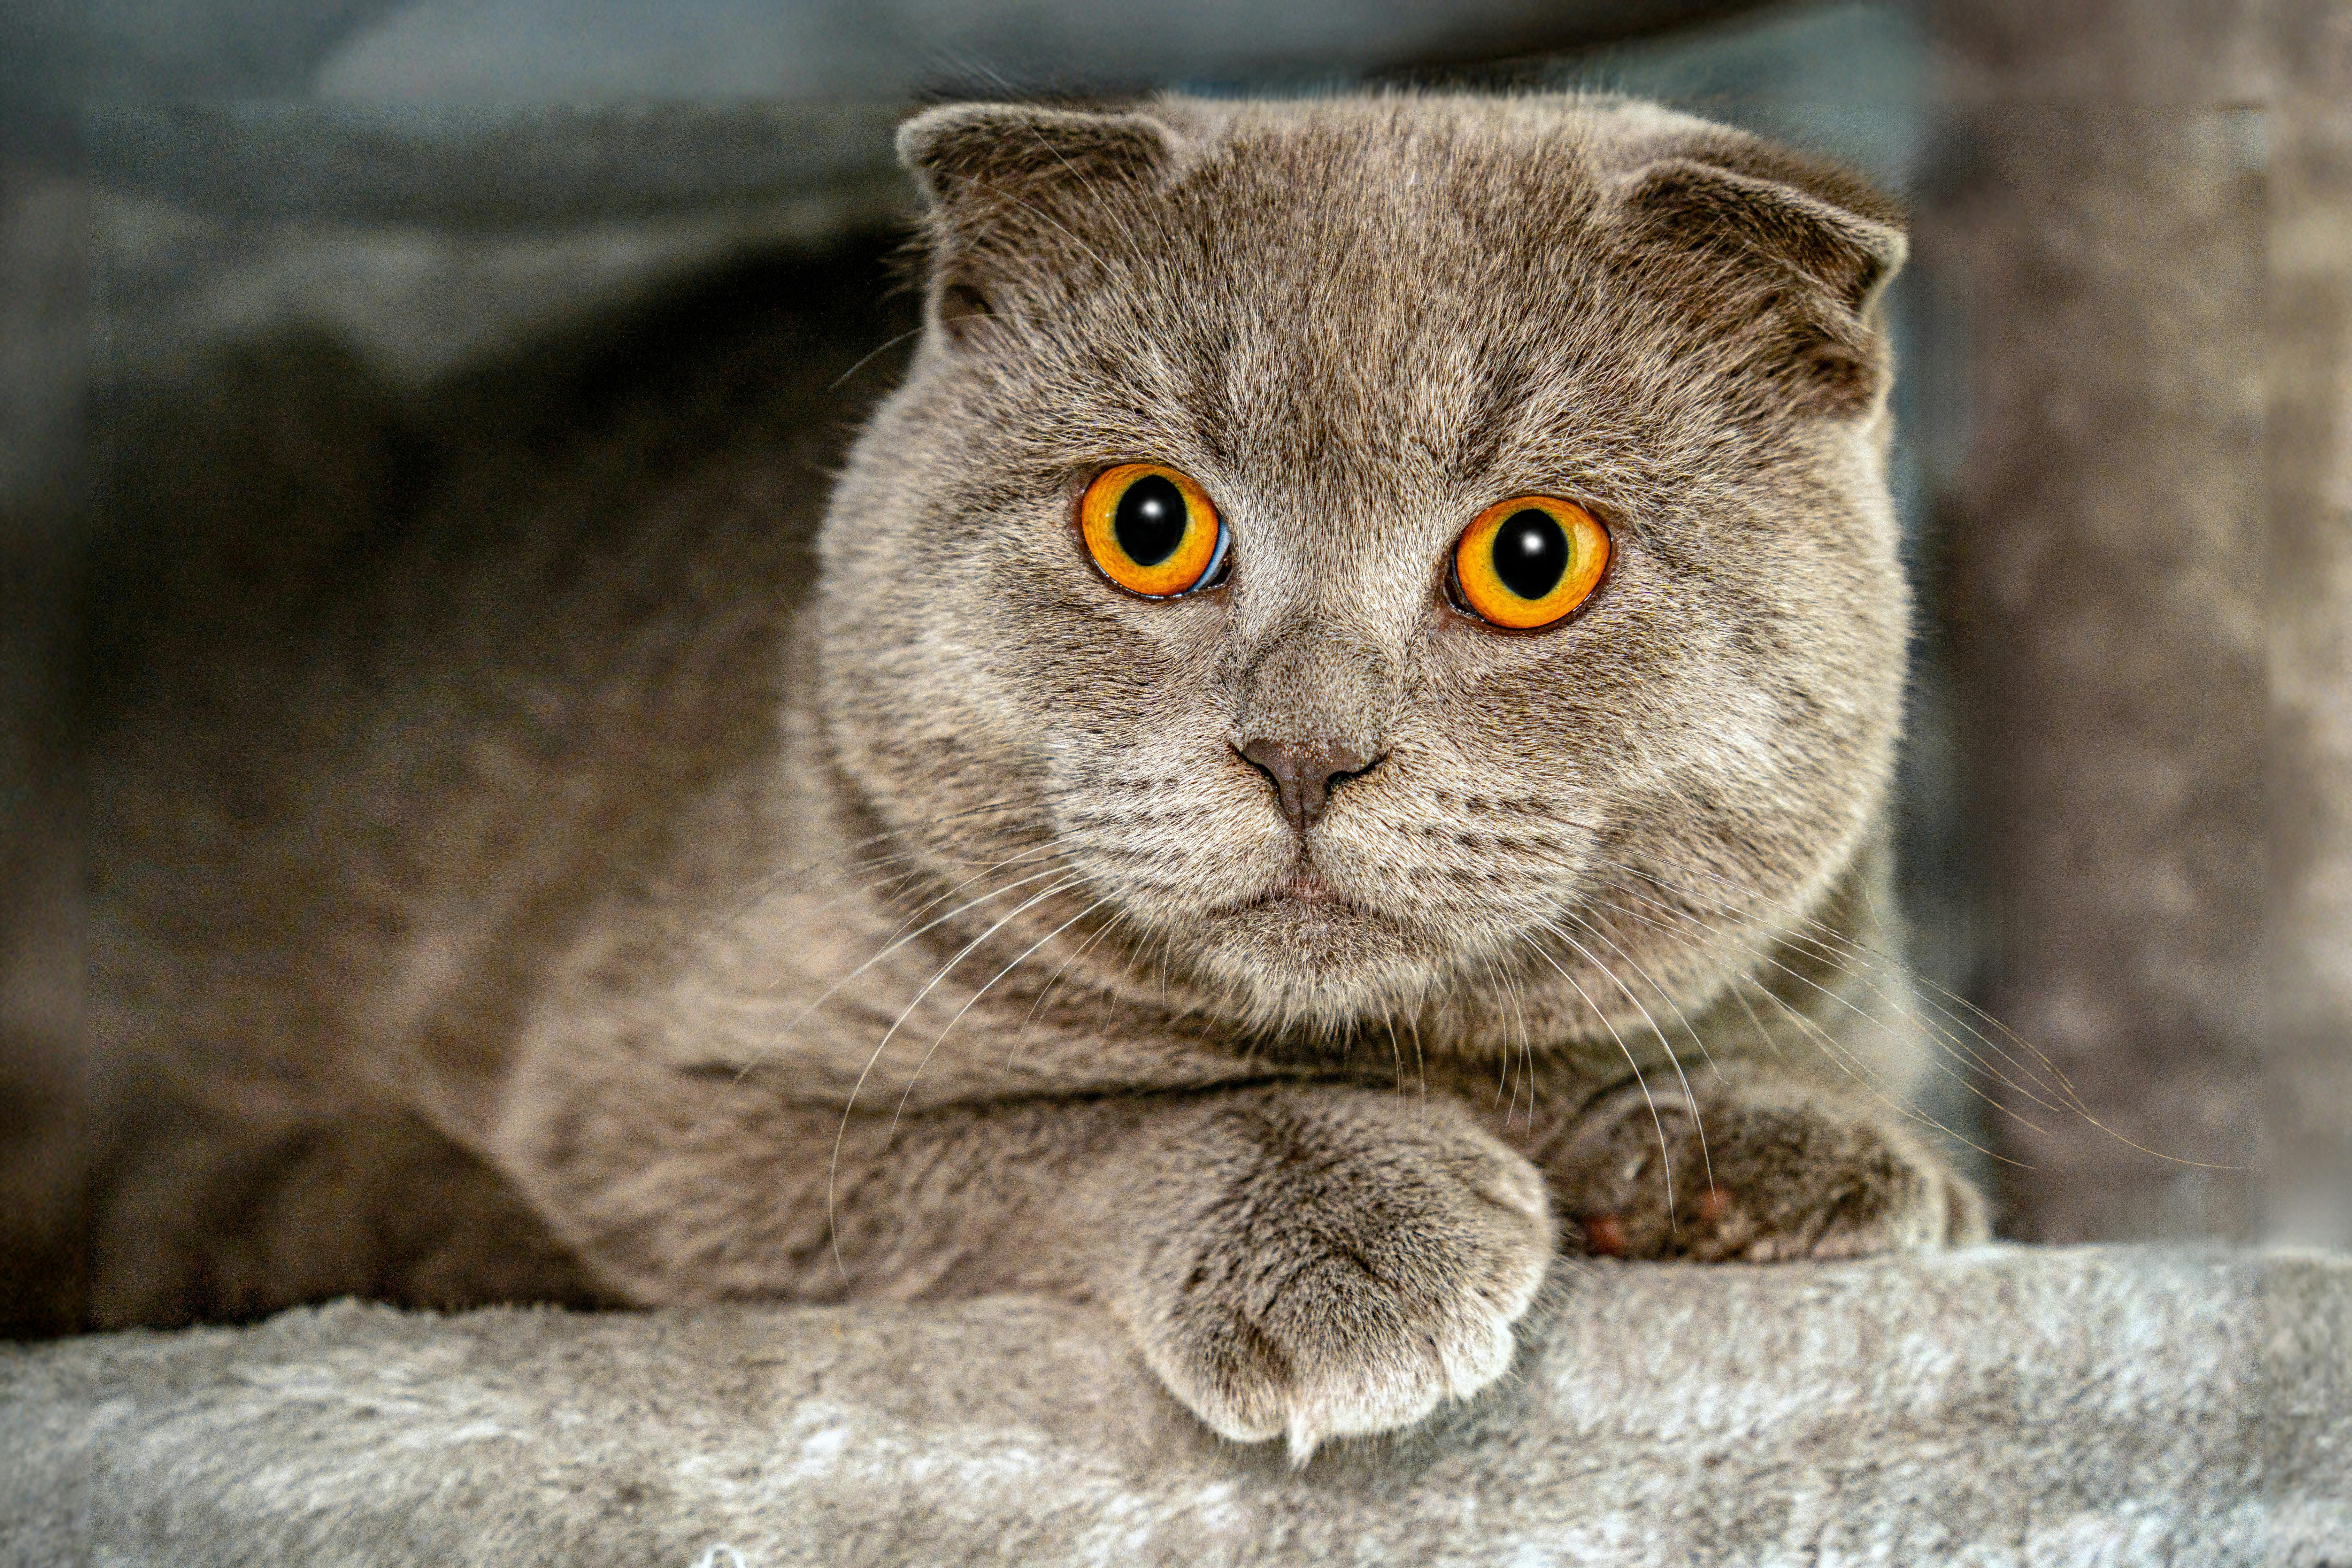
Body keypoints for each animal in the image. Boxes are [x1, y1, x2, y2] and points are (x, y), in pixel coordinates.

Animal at [0, 89, 1985, 1457]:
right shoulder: (654, 1101)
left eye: (1532, 558)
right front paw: (1352, 1231)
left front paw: (1788, 1154)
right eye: (1147, 525)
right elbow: (1104, 1116)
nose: (1303, 748)